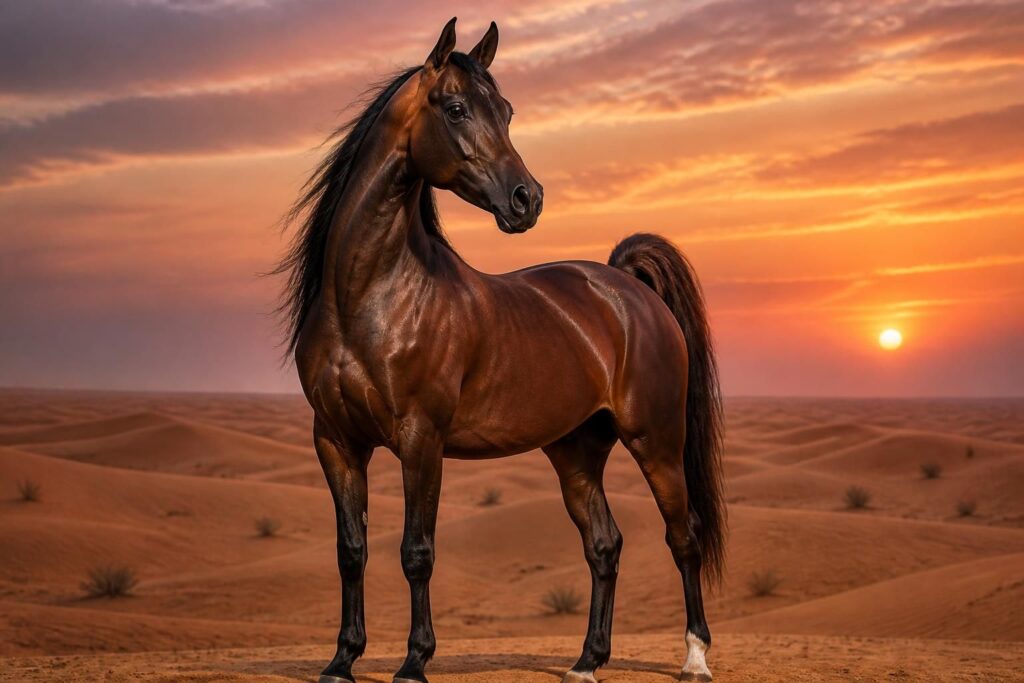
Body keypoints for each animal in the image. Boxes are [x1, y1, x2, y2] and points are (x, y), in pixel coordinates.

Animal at [278, 17, 726, 683]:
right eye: (457, 108)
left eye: (508, 110)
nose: (527, 199)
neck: (372, 298)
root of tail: (627, 287)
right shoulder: (335, 440)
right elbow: (351, 550)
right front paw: (341, 660)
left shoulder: (421, 440)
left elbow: (417, 551)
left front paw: (414, 663)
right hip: (575, 452)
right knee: (604, 545)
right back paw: (586, 662)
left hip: (657, 443)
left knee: (684, 536)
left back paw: (695, 658)